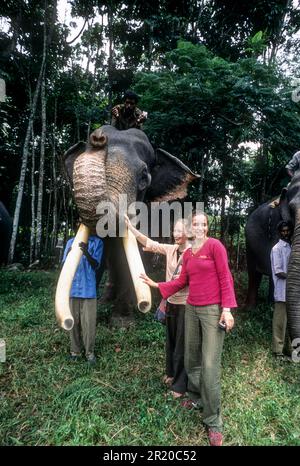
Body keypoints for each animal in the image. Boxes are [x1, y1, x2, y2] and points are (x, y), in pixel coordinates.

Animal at [55, 124, 199, 328]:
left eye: (144, 177)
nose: (98, 138)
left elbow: (127, 256)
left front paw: (122, 322)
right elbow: (102, 256)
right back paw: (106, 299)